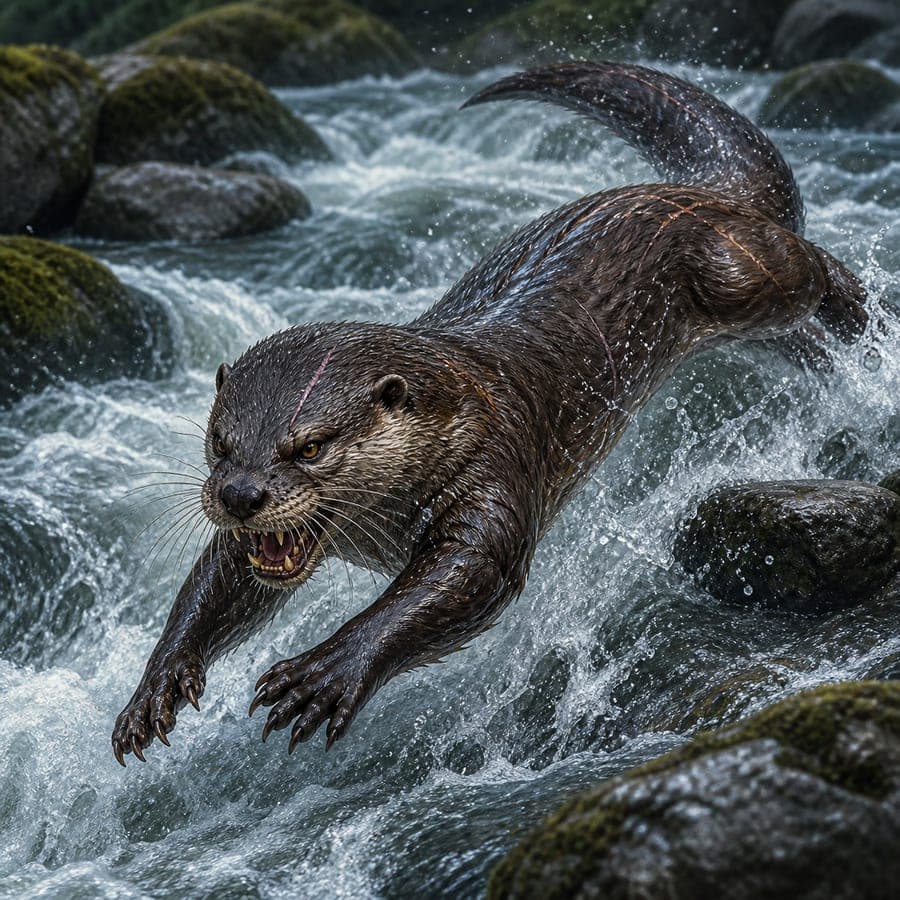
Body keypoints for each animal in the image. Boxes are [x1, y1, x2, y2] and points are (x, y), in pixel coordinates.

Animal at [113, 62, 867, 764]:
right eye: (221, 442)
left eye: (310, 446)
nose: (240, 494)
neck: (453, 412)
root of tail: (697, 191)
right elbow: (223, 574)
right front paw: (157, 684)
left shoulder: (496, 463)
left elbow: (477, 571)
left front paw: (327, 671)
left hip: (733, 268)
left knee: (801, 263)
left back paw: (859, 304)